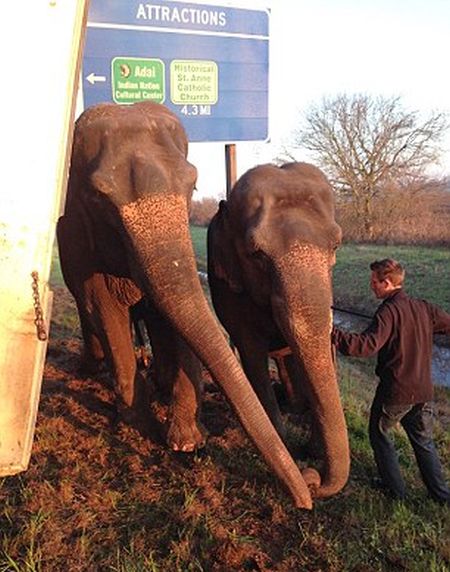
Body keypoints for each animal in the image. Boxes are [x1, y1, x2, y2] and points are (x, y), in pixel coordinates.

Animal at [56, 101, 316, 510]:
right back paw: (94, 369)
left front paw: (188, 441)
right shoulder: (80, 240)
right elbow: (103, 305)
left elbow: (172, 311)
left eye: (192, 185)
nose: (308, 487)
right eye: (97, 198)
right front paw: (140, 425)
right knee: (90, 313)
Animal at [207, 162, 352, 500]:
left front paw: (312, 447)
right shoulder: (230, 290)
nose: (312, 478)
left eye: (336, 245)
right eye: (256, 254)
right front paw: (285, 442)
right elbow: (252, 355)